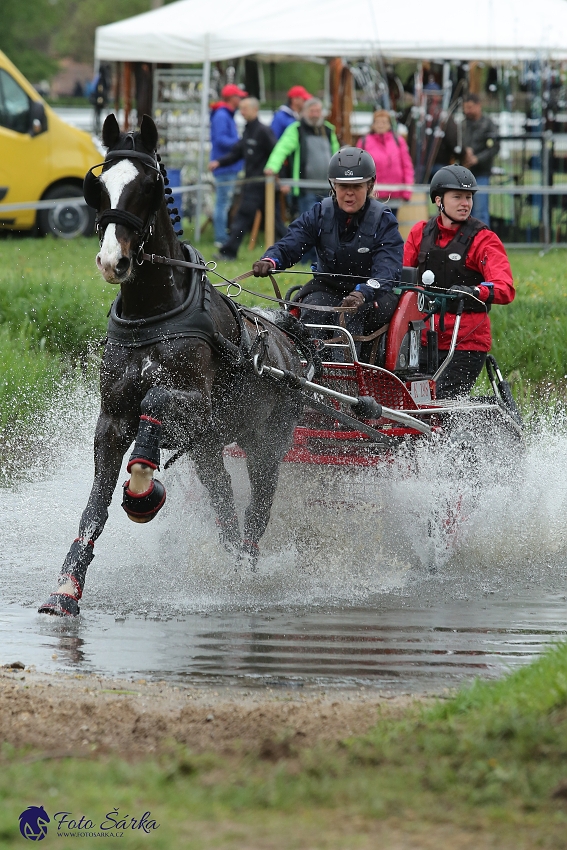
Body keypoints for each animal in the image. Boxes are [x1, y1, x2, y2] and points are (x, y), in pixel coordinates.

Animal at [38, 114, 306, 616]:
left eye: (148, 185)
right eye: (99, 185)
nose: (112, 261)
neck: (152, 315)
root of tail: (293, 346)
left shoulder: (194, 403)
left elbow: (155, 406)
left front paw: (142, 486)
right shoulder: (112, 419)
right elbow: (95, 509)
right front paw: (66, 587)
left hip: (266, 445)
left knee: (257, 509)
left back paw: (246, 569)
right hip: (210, 449)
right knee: (223, 504)